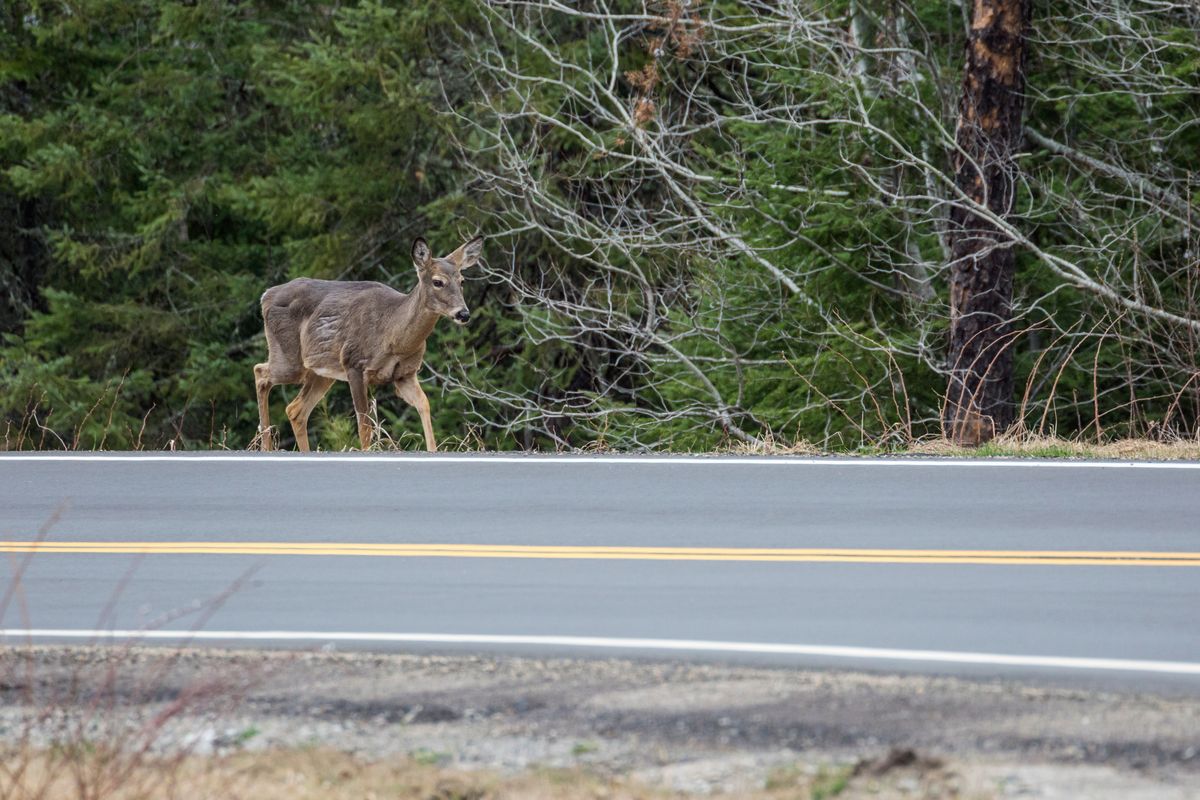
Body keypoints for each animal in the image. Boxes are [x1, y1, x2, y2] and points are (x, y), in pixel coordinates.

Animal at [253, 235, 482, 453]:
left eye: (462, 281)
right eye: (438, 282)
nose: (463, 314)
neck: (394, 338)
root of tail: (266, 296)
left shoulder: (405, 374)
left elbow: (424, 405)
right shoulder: (354, 363)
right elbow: (365, 425)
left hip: (321, 370)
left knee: (295, 410)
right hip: (291, 360)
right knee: (260, 372)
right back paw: (265, 445)